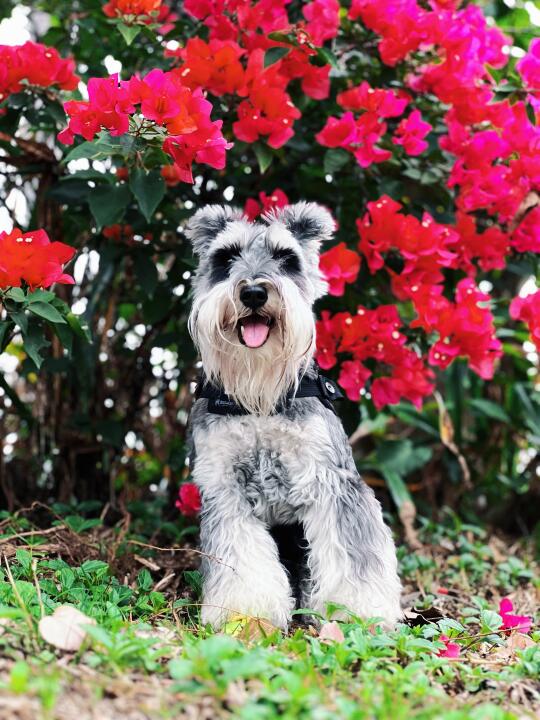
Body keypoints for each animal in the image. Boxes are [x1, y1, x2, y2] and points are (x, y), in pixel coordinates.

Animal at [186, 202, 400, 632]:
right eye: (225, 257)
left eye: (286, 259)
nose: (253, 291)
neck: (258, 398)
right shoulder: (225, 489)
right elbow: (241, 556)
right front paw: (245, 615)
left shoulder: (331, 480)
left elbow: (354, 555)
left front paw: (360, 612)